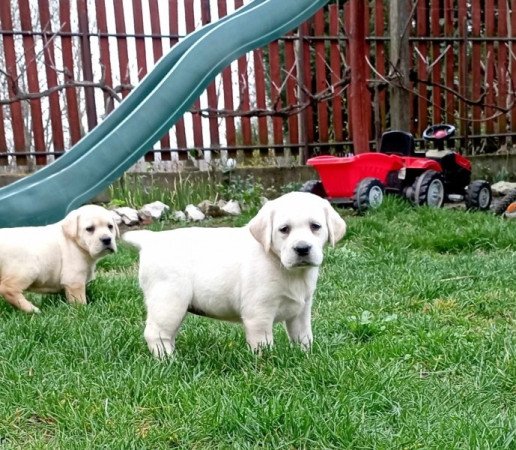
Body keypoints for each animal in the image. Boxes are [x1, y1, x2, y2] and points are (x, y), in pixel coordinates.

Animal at [122, 193, 344, 358]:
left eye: (315, 226)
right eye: (284, 229)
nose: (302, 248)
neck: (280, 263)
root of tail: (151, 240)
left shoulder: (302, 310)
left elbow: (303, 337)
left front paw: (306, 357)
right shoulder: (258, 314)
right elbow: (263, 344)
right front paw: (267, 364)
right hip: (169, 300)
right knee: (155, 334)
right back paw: (168, 360)